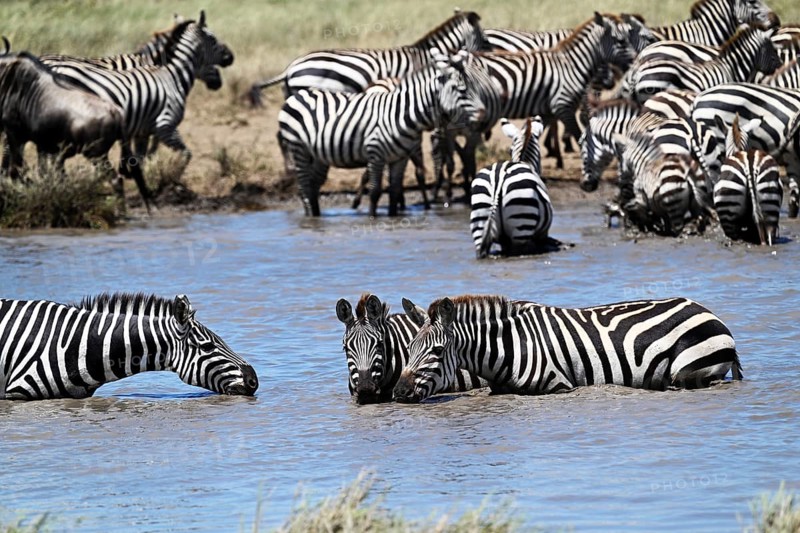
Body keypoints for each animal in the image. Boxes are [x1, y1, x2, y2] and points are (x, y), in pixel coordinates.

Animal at [44, 12, 231, 206]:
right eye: (213, 41)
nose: (218, 83)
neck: (151, 62)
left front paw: (129, 168)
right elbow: (147, 142)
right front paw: (137, 167)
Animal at [277, 50, 488, 217]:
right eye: (461, 90)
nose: (483, 113)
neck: (401, 115)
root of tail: (298, 94)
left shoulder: (399, 158)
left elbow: (394, 192)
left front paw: (394, 218)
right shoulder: (375, 154)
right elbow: (375, 192)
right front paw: (372, 218)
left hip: (318, 154)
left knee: (313, 187)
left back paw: (317, 217)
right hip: (298, 149)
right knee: (304, 187)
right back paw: (310, 218)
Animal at [392, 295, 742, 403]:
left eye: (437, 352)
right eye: (408, 348)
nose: (398, 393)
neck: (508, 345)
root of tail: (709, 313)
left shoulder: (558, 385)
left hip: (688, 372)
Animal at [470, 117, 556, 258]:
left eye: (510, 150)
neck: (524, 161)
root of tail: (498, 181)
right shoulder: (542, 234)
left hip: (479, 220)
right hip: (522, 223)